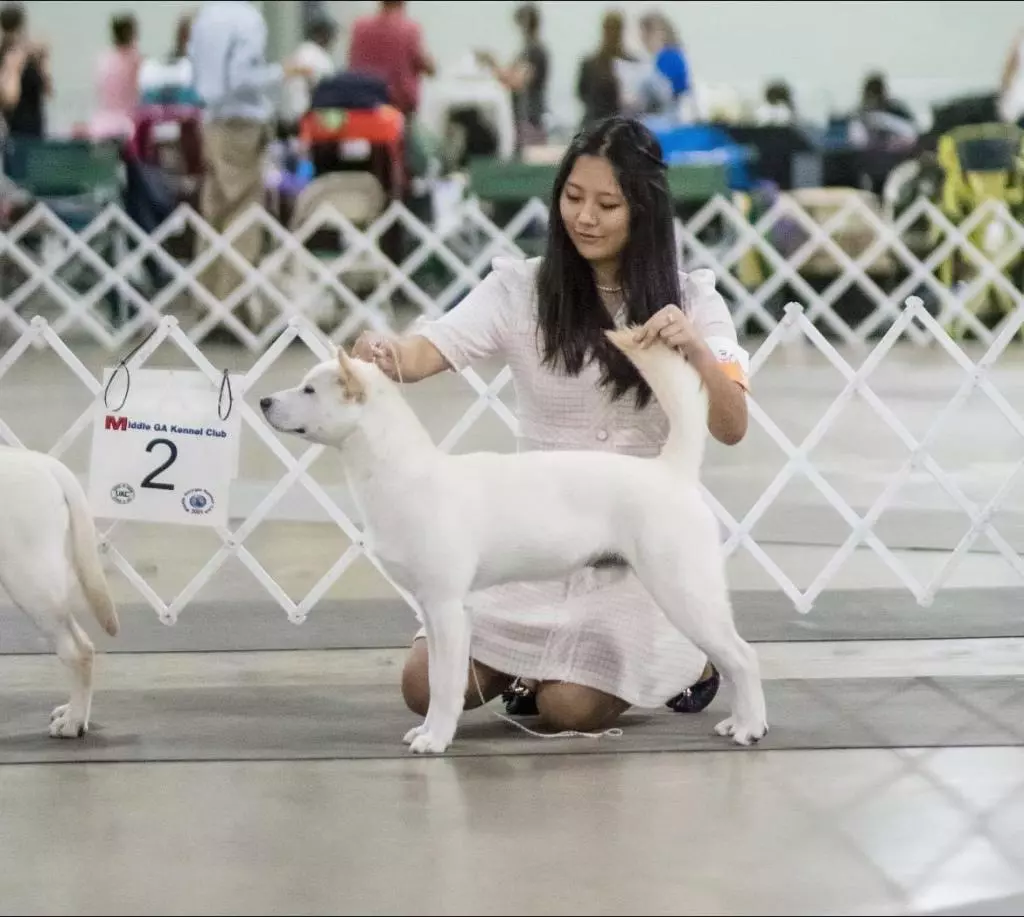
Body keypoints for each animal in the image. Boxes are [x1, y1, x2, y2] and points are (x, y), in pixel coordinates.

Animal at [0, 448, 119, 740]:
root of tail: (42, 461)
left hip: (30, 584)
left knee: (78, 652)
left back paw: (73, 722)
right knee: (84, 643)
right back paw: (74, 713)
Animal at [264, 329, 770, 753]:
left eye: (310, 390)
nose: (265, 400)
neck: (400, 472)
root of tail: (669, 471)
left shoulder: (447, 608)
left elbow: (444, 686)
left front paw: (436, 739)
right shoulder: (431, 608)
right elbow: (435, 676)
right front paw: (427, 731)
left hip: (684, 591)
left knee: (743, 657)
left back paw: (750, 728)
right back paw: (737, 721)